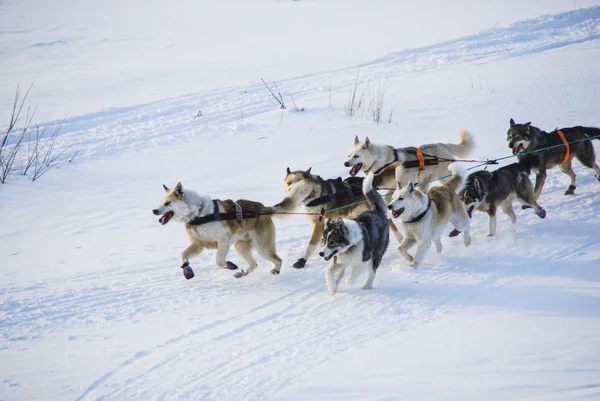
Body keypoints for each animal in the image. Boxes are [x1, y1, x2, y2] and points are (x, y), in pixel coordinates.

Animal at [151, 182, 280, 278]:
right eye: (160, 203)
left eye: (167, 203)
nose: (154, 211)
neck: (198, 214)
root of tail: (263, 208)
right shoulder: (198, 244)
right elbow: (182, 255)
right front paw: (186, 269)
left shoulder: (224, 239)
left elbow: (219, 261)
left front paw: (229, 265)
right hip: (240, 247)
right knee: (254, 264)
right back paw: (241, 274)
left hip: (262, 248)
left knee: (278, 260)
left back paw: (276, 271)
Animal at [344, 128, 476, 191]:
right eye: (349, 155)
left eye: (356, 156)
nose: (345, 163)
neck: (378, 160)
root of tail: (443, 145)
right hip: (424, 182)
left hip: (444, 176)